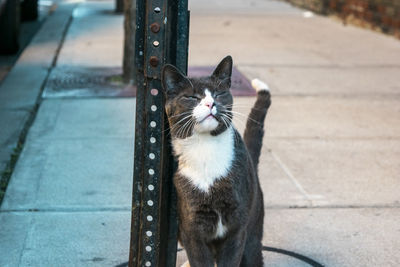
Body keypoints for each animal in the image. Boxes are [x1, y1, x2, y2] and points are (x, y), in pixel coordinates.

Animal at [161, 55, 270, 266]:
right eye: (192, 97)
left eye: (219, 93)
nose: (210, 104)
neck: (205, 149)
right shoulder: (192, 228)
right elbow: (199, 260)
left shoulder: (237, 228)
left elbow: (230, 259)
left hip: (253, 232)